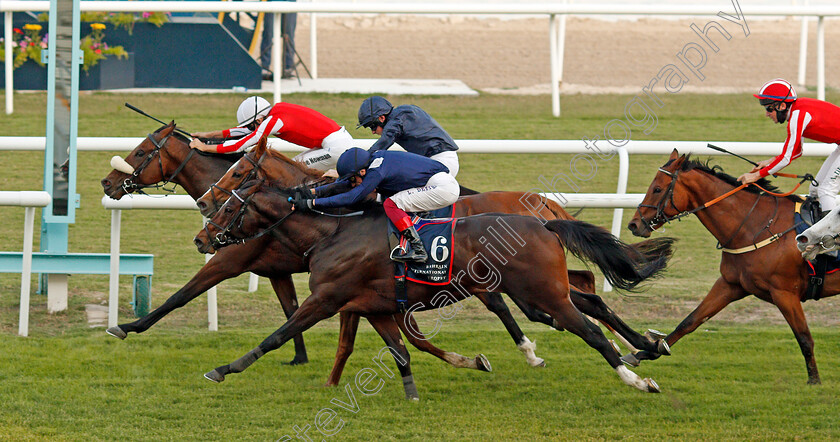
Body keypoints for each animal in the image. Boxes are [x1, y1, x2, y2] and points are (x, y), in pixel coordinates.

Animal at [194, 136, 672, 382]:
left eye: (238, 176)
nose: (202, 231)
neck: (336, 227)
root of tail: (544, 212)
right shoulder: (366, 302)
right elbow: (375, 343)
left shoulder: (333, 298)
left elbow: (282, 334)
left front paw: (224, 369)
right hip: (535, 288)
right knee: (584, 299)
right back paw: (644, 347)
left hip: (537, 288)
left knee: (584, 312)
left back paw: (635, 360)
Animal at [624, 148, 840, 384]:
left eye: (657, 189)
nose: (634, 224)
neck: (756, 225)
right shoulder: (730, 284)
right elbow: (691, 320)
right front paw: (647, 351)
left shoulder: (785, 292)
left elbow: (804, 337)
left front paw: (814, 380)